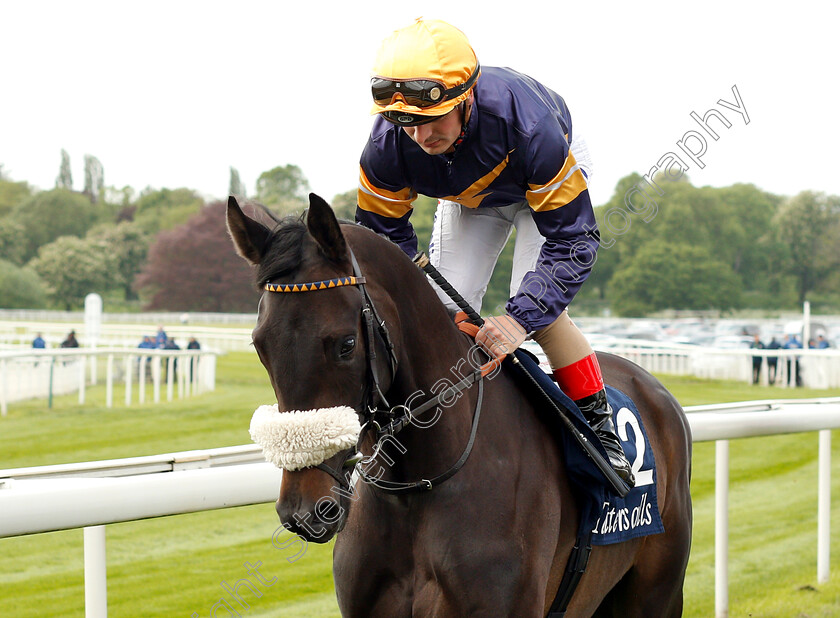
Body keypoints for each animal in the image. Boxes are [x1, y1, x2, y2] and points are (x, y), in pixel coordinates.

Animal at [226, 190, 692, 612]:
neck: (418, 486)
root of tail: (654, 386)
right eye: (259, 346)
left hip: (656, 594)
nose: (304, 511)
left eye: (345, 345)